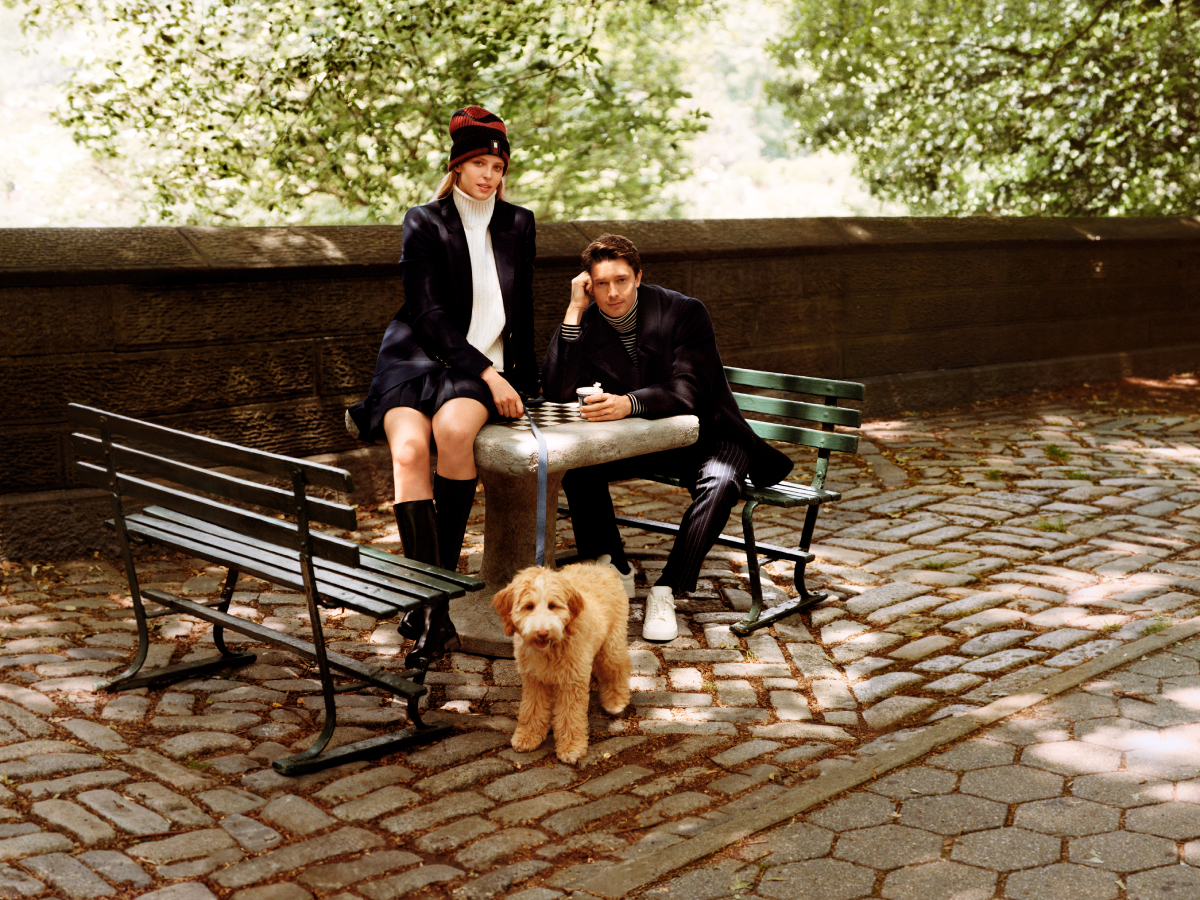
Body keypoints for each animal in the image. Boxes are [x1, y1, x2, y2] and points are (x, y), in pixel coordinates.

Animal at [492, 563, 631, 764]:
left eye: (552, 606)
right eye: (529, 607)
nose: (542, 633)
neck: (550, 648)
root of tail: (600, 566)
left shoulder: (572, 682)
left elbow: (570, 715)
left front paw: (571, 747)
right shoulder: (534, 680)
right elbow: (531, 708)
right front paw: (528, 736)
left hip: (611, 643)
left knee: (618, 668)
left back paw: (616, 700)